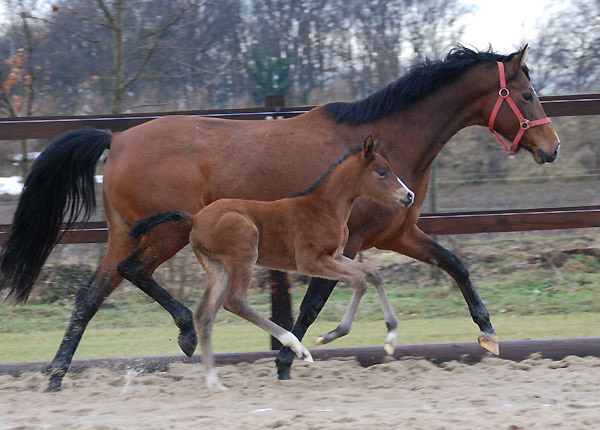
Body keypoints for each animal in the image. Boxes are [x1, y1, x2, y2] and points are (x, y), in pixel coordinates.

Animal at [129, 137, 414, 390]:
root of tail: (195, 218)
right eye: (382, 172)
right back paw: (297, 347)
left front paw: (390, 338)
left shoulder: (335, 257)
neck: (325, 207)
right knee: (236, 301)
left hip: (218, 267)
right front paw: (331, 335)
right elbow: (359, 280)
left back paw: (213, 381)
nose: (409, 196)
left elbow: (373, 273)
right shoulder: (311, 262)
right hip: (244, 254)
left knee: (204, 314)